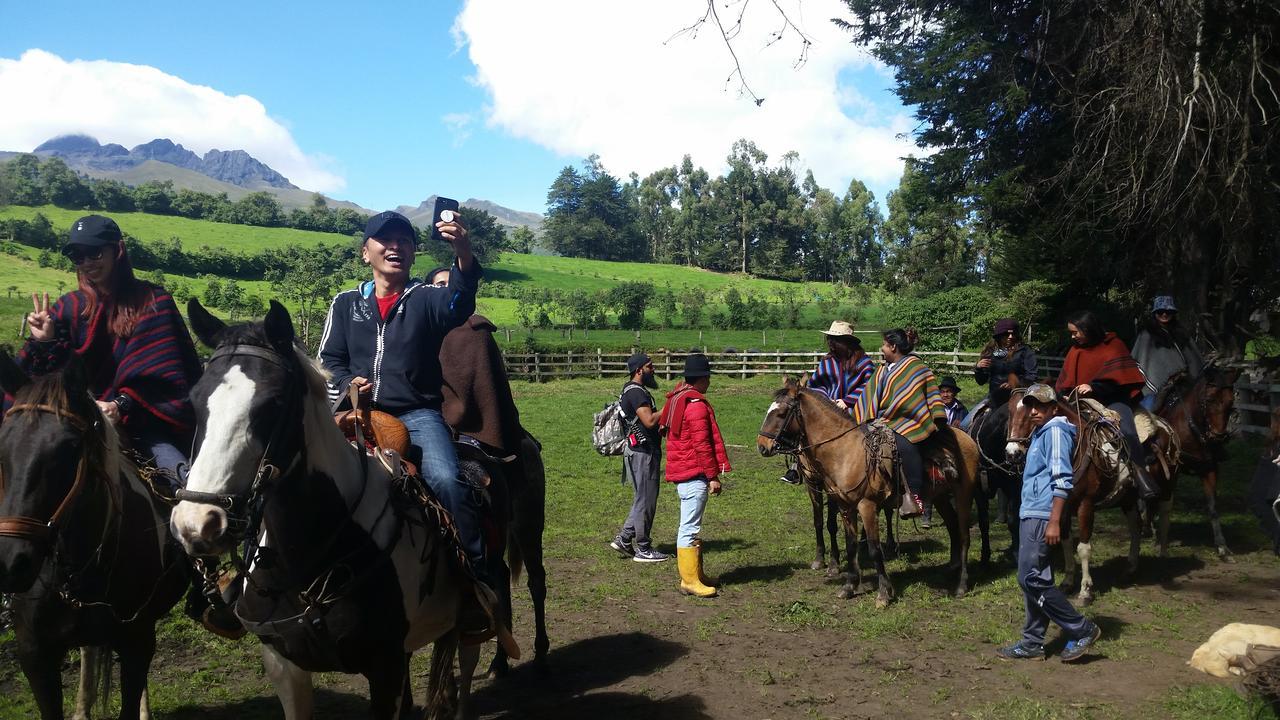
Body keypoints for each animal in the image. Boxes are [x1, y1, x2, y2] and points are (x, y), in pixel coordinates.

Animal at [171, 299, 514, 712]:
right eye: (194, 401)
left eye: (273, 403)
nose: (197, 522)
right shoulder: (284, 665)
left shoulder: (385, 667)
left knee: (467, 662)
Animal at [752, 376, 972, 604]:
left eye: (781, 413)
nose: (762, 445)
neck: (845, 451)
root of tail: (966, 437)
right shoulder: (844, 505)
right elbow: (849, 544)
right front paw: (849, 586)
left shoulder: (866, 505)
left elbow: (874, 549)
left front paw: (883, 593)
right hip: (940, 497)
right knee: (953, 527)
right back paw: (952, 568)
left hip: (963, 495)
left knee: (964, 535)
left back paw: (961, 585)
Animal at [1008, 394, 1177, 602]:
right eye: (1009, 411)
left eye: (1031, 413)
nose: (1012, 452)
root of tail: (1164, 425)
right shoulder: (1063, 508)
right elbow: (1066, 542)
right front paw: (1067, 582)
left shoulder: (1085, 505)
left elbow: (1083, 548)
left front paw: (1085, 590)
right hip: (1127, 498)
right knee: (1135, 527)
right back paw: (1130, 568)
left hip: (1167, 489)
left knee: (1165, 520)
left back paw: (1162, 561)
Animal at [1157, 363, 1233, 556]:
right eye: (1210, 399)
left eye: (1231, 402)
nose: (1218, 436)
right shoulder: (1170, 471)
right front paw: (1160, 542)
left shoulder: (1209, 469)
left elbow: (1212, 506)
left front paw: (1222, 546)